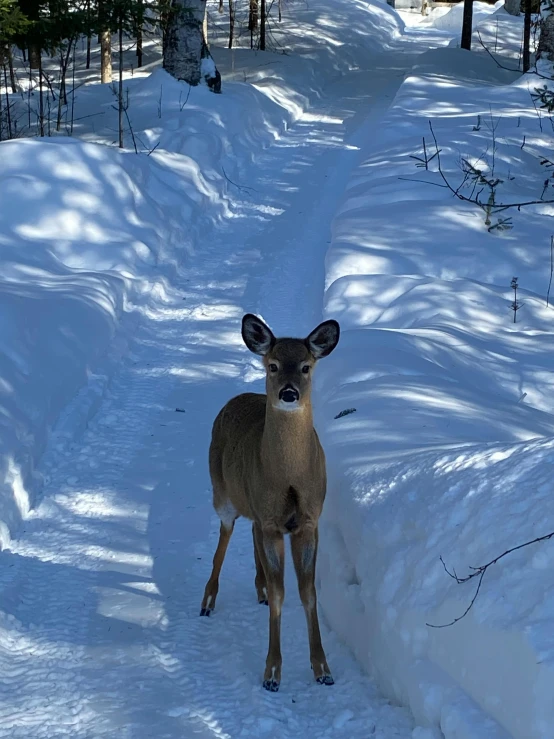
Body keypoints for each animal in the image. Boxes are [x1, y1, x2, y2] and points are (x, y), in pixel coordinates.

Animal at [198, 312, 336, 692]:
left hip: (255, 508)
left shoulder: (308, 521)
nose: (288, 393)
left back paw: (256, 586)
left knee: (250, 533)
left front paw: (323, 668)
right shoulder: (274, 523)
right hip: (221, 491)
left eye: (305, 366)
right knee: (225, 536)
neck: (288, 478)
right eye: (273, 365)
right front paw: (272, 673)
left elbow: (308, 592)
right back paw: (207, 600)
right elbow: (280, 593)